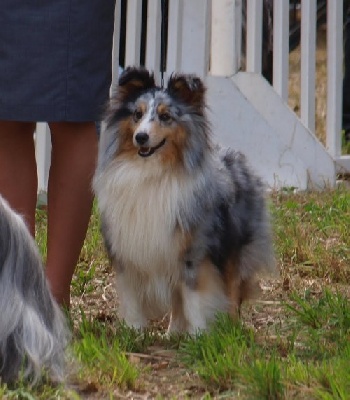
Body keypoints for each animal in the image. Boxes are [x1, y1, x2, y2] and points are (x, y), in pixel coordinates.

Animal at [93, 67, 276, 332]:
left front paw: (200, 334)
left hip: (234, 247)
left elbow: (195, 299)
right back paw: (174, 333)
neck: (151, 173)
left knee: (231, 289)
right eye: (137, 114)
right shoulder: (128, 251)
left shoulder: (193, 253)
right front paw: (133, 331)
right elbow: (133, 297)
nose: (141, 137)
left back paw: (229, 330)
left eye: (165, 116)